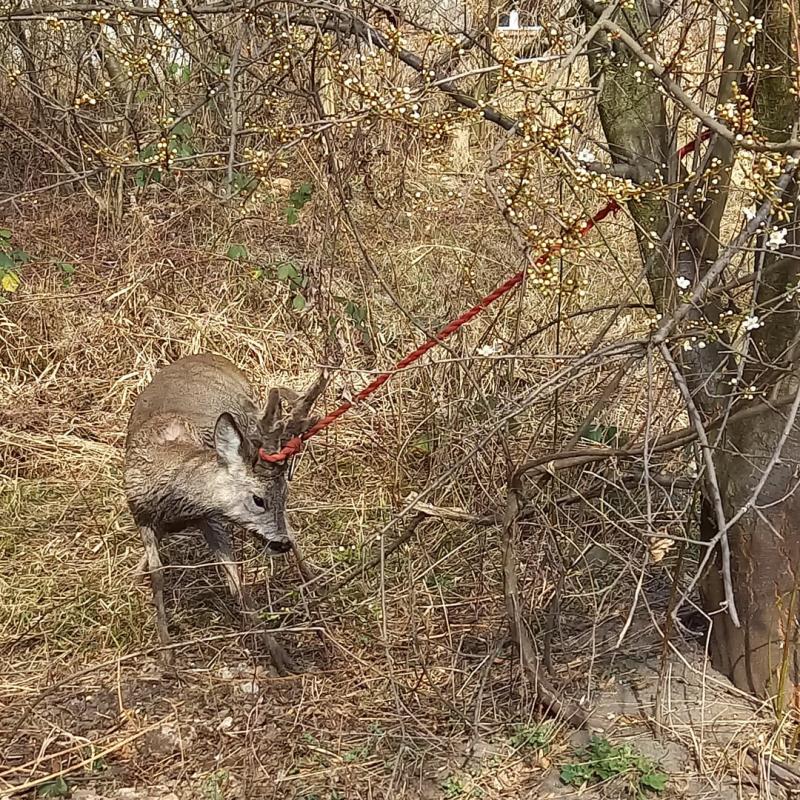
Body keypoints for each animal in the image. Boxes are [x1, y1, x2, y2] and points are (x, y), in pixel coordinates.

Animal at [123, 354, 326, 672]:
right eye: (258, 499)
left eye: (283, 496)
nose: (280, 544)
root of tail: (211, 356)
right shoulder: (140, 512)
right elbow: (158, 575)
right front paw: (166, 652)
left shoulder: (212, 520)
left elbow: (238, 587)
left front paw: (281, 657)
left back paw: (310, 576)